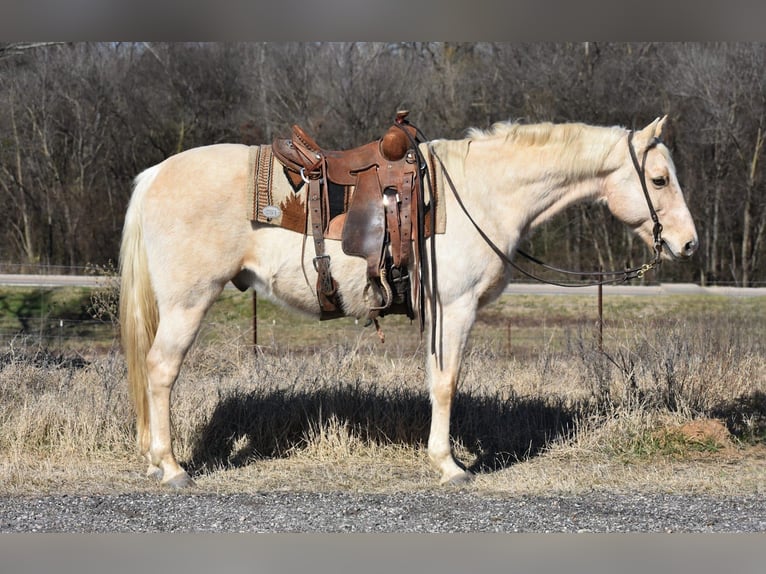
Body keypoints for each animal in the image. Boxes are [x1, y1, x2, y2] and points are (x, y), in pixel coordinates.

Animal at [119, 115, 698, 488]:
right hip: (188, 303)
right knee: (161, 370)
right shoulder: (454, 308)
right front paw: (449, 466)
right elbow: (445, 383)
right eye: (659, 179)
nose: (688, 244)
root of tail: (155, 175)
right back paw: (171, 468)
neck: (482, 193)